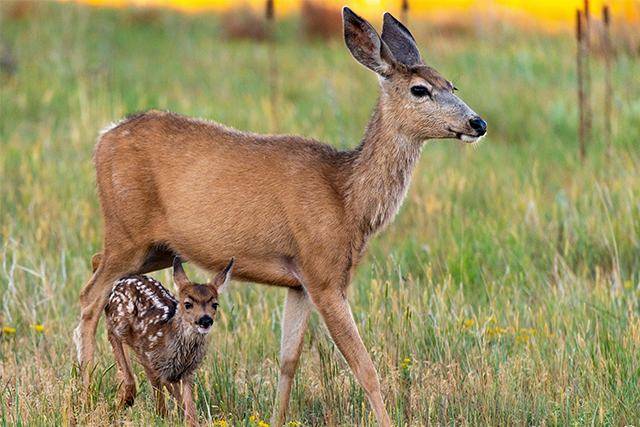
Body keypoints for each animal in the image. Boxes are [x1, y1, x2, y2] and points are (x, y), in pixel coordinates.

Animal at [104, 256, 233, 425]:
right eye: (187, 304)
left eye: (215, 304)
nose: (205, 320)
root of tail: (121, 280)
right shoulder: (148, 359)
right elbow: (160, 403)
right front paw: (162, 420)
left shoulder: (187, 371)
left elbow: (190, 408)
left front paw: (191, 421)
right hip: (119, 321)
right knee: (111, 331)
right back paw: (126, 399)